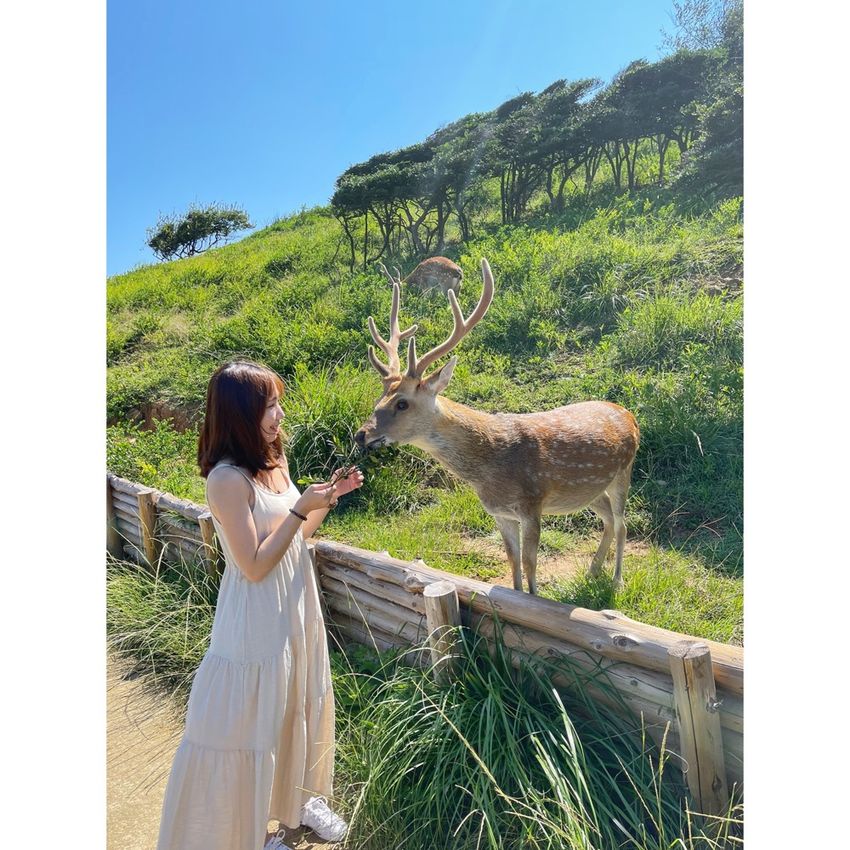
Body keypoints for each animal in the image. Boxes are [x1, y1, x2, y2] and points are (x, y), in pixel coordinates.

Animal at [354, 258, 640, 594]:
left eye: (402, 403)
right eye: (380, 395)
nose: (361, 434)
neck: (489, 470)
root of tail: (629, 415)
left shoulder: (532, 503)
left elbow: (530, 565)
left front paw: (536, 597)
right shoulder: (500, 513)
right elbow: (513, 564)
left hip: (624, 470)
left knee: (622, 522)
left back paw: (617, 581)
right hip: (590, 490)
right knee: (608, 518)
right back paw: (593, 571)